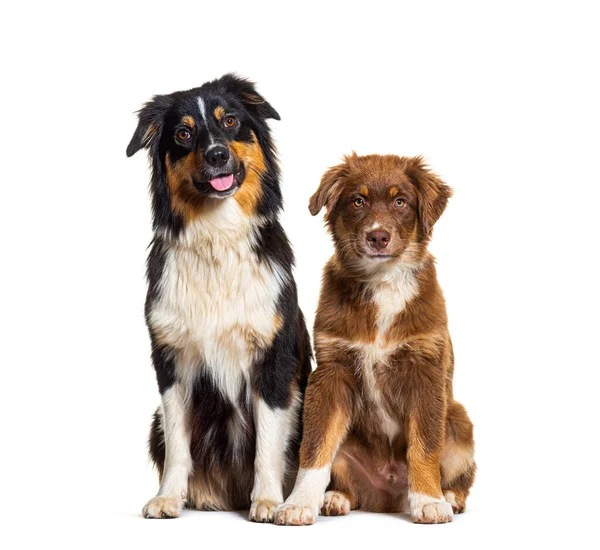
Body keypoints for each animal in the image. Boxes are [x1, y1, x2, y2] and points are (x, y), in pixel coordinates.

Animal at [127, 76, 314, 520]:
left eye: (229, 120)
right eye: (183, 133)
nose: (217, 154)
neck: (217, 236)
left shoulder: (273, 359)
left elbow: (267, 442)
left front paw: (268, 500)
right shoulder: (171, 361)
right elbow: (178, 442)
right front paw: (168, 497)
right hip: (153, 422)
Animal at [274, 154, 476, 528]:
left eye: (400, 202)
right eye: (358, 201)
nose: (378, 237)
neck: (383, 282)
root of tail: (388, 498)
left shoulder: (426, 371)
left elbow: (424, 445)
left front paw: (429, 501)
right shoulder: (331, 373)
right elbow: (316, 445)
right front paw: (298, 503)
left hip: (459, 422)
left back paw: (449, 497)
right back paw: (336, 498)